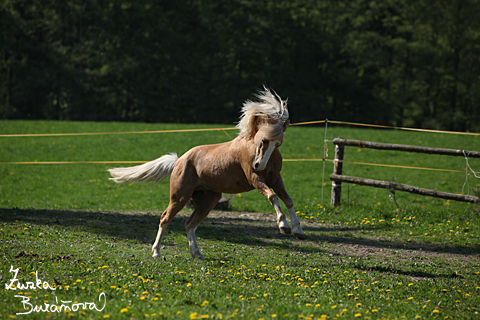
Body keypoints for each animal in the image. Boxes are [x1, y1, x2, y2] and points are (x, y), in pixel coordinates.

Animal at [108, 89, 304, 258]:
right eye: (263, 140)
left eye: (278, 144)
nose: (258, 165)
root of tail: (179, 160)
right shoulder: (255, 179)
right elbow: (273, 197)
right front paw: (283, 226)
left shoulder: (275, 179)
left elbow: (288, 200)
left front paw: (298, 231)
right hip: (180, 197)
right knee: (165, 218)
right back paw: (156, 252)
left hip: (209, 200)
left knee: (190, 224)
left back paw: (197, 254)